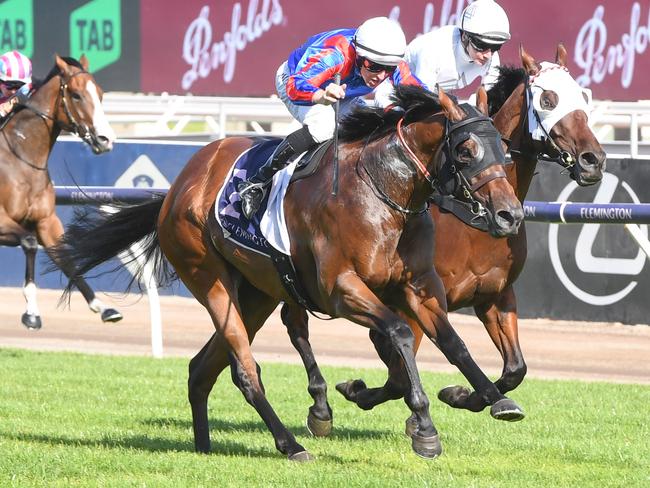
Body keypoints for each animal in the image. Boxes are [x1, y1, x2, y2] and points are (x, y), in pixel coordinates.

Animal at [0, 55, 121, 330]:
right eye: (76, 95)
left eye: (100, 93)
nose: (106, 139)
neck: (20, 158)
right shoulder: (2, 222)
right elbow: (29, 242)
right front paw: (31, 313)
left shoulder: (47, 221)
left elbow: (64, 256)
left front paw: (103, 307)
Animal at [53, 85, 524, 462]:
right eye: (465, 150)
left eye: (503, 150)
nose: (510, 215)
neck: (383, 191)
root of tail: (177, 186)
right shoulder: (341, 290)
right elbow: (400, 333)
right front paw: (425, 429)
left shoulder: (420, 286)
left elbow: (453, 342)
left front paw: (494, 399)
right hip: (209, 279)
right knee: (245, 371)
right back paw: (290, 444)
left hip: (256, 294)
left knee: (202, 368)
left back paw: (204, 446)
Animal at [276, 43, 604, 436]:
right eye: (548, 99)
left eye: (583, 96)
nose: (593, 160)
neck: (469, 219)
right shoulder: (412, 297)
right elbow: (399, 371)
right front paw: (364, 392)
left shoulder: (495, 295)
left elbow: (514, 369)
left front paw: (463, 395)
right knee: (296, 323)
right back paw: (321, 405)